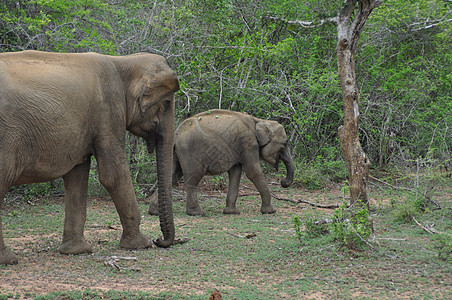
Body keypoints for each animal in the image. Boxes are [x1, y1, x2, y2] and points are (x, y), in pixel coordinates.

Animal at [0, 49, 180, 264]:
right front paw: (140, 244)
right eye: (167, 103)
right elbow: (113, 176)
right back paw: (8, 259)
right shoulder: (108, 113)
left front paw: (77, 250)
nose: (159, 240)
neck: (124, 62)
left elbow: (77, 176)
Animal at [148, 109, 294, 216]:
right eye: (285, 143)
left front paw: (231, 212)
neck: (259, 121)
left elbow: (235, 172)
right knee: (192, 178)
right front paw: (270, 211)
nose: (283, 182)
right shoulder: (248, 143)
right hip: (190, 153)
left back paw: (155, 212)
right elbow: (253, 172)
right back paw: (197, 213)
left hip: (174, 152)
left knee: (172, 176)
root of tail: (176, 133)